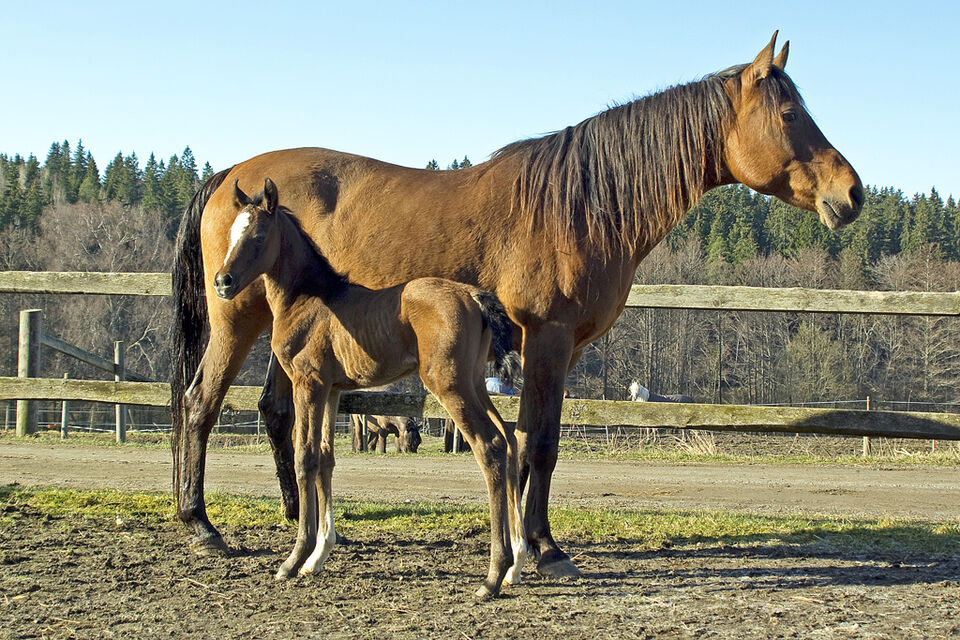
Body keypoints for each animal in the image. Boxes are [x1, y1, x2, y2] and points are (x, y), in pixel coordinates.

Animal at [212, 178, 530, 597]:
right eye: (232, 233)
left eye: (259, 235)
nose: (222, 282)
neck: (308, 300)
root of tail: (473, 295)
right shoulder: (331, 390)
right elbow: (326, 458)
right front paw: (317, 557)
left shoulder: (307, 383)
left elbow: (304, 458)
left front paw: (293, 561)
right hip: (474, 380)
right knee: (507, 442)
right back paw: (517, 564)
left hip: (449, 384)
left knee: (490, 446)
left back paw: (493, 575)